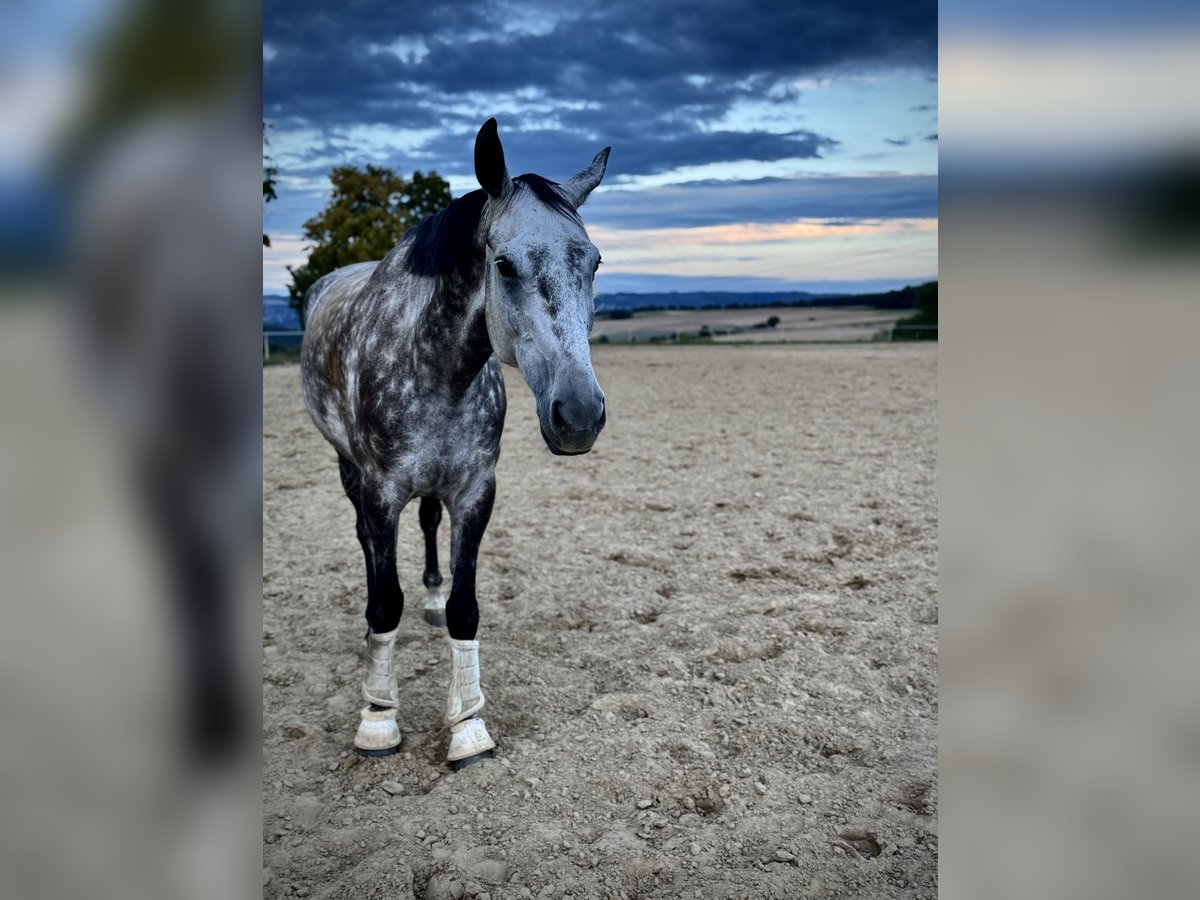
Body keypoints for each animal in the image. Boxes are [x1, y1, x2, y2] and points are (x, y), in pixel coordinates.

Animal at [300, 119, 610, 767]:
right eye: (505, 265)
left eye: (594, 263)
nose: (579, 415)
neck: (435, 366)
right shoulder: (380, 492)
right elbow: (384, 603)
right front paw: (378, 719)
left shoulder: (474, 491)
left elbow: (465, 609)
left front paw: (468, 725)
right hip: (348, 469)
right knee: (367, 544)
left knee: (426, 525)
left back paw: (429, 598)